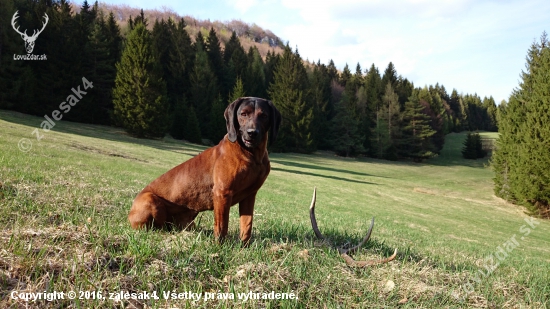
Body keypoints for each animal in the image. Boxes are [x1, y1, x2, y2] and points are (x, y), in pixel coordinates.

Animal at [129, 97, 282, 243]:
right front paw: (220, 246)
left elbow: (247, 225)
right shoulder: (222, 193)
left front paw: (244, 246)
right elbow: (221, 225)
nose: (252, 133)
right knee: (158, 226)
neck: (252, 154)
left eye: (264, 116)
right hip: (151, 200)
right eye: (243, 114)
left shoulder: (250, 195)